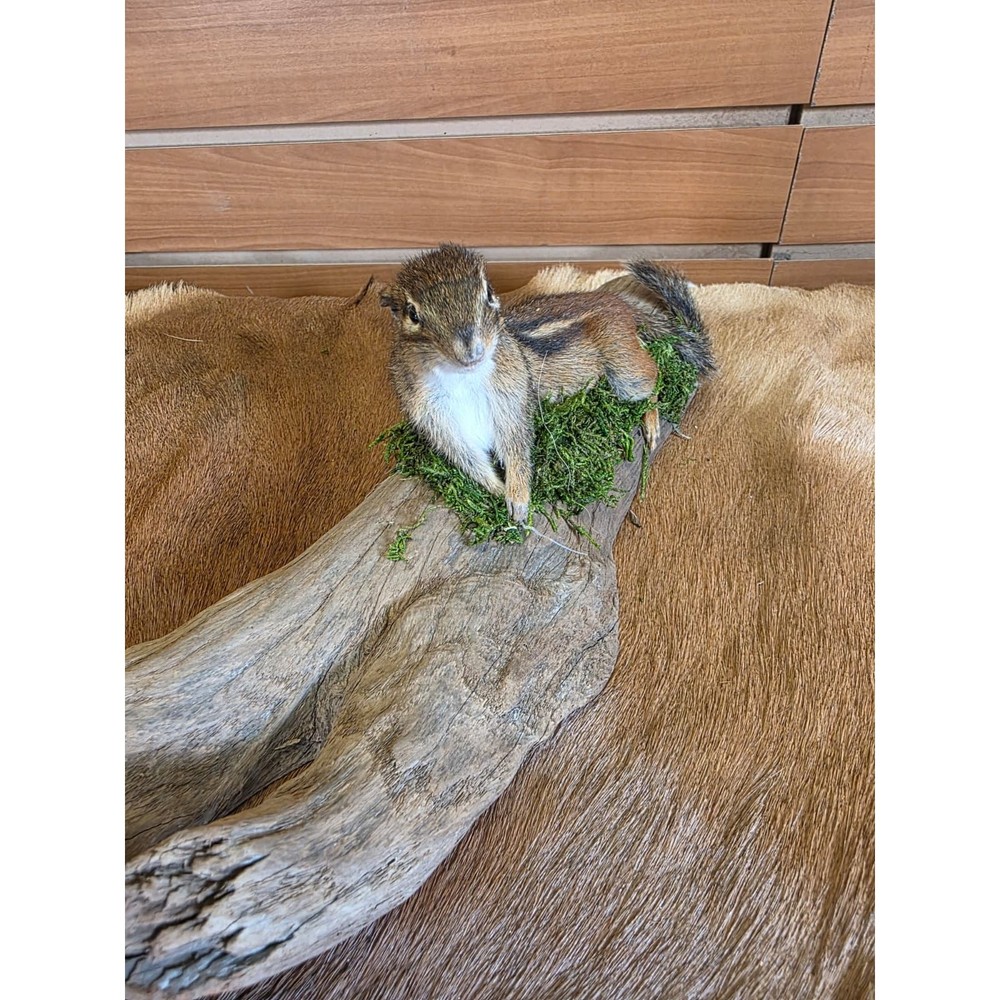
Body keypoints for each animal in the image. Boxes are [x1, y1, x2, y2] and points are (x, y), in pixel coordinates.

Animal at [380, 243, 714, 524]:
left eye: (488, 294)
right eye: (412, 313)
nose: (472, 350)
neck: (462, 377)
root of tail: (617, 302)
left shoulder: (512, 399)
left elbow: (517, 447)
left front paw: (518, 499)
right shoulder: (438, 421)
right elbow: (469, 459)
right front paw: (497, 491)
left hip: (623, 364)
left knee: (652, 374)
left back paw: (651, 419)